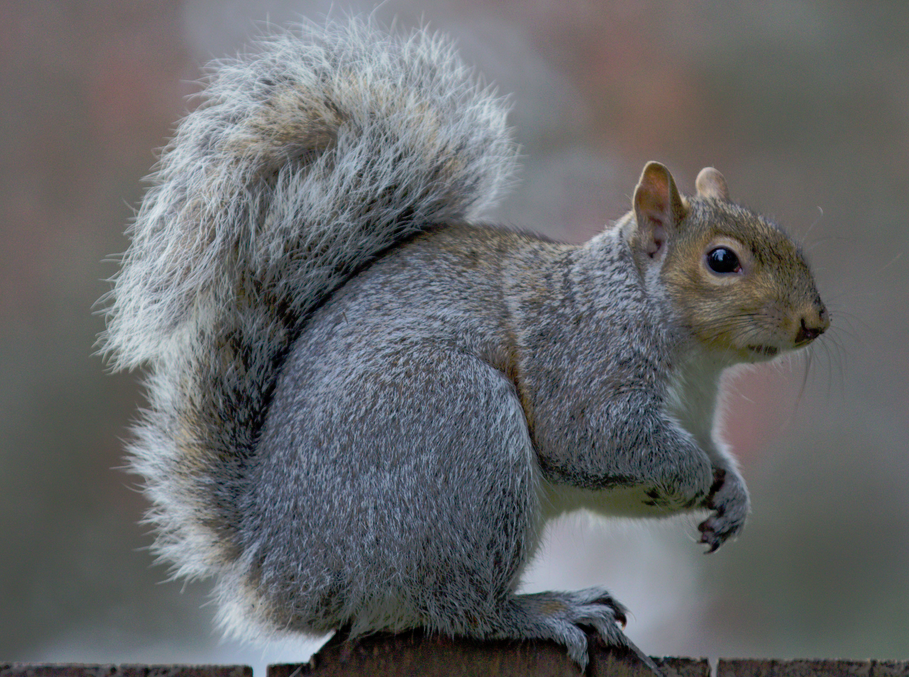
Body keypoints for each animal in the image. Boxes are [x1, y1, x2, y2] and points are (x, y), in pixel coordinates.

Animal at [101, 18, 830, 671]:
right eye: (721, 260)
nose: (813, 321)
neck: (689, 353)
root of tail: (276, 564)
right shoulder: (584, 367)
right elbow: (597, 443)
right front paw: (689, 475)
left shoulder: (694, 413)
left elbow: (689, 458)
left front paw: (730, 493)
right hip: (458, 436)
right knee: (457, 606)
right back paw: (545, 611)